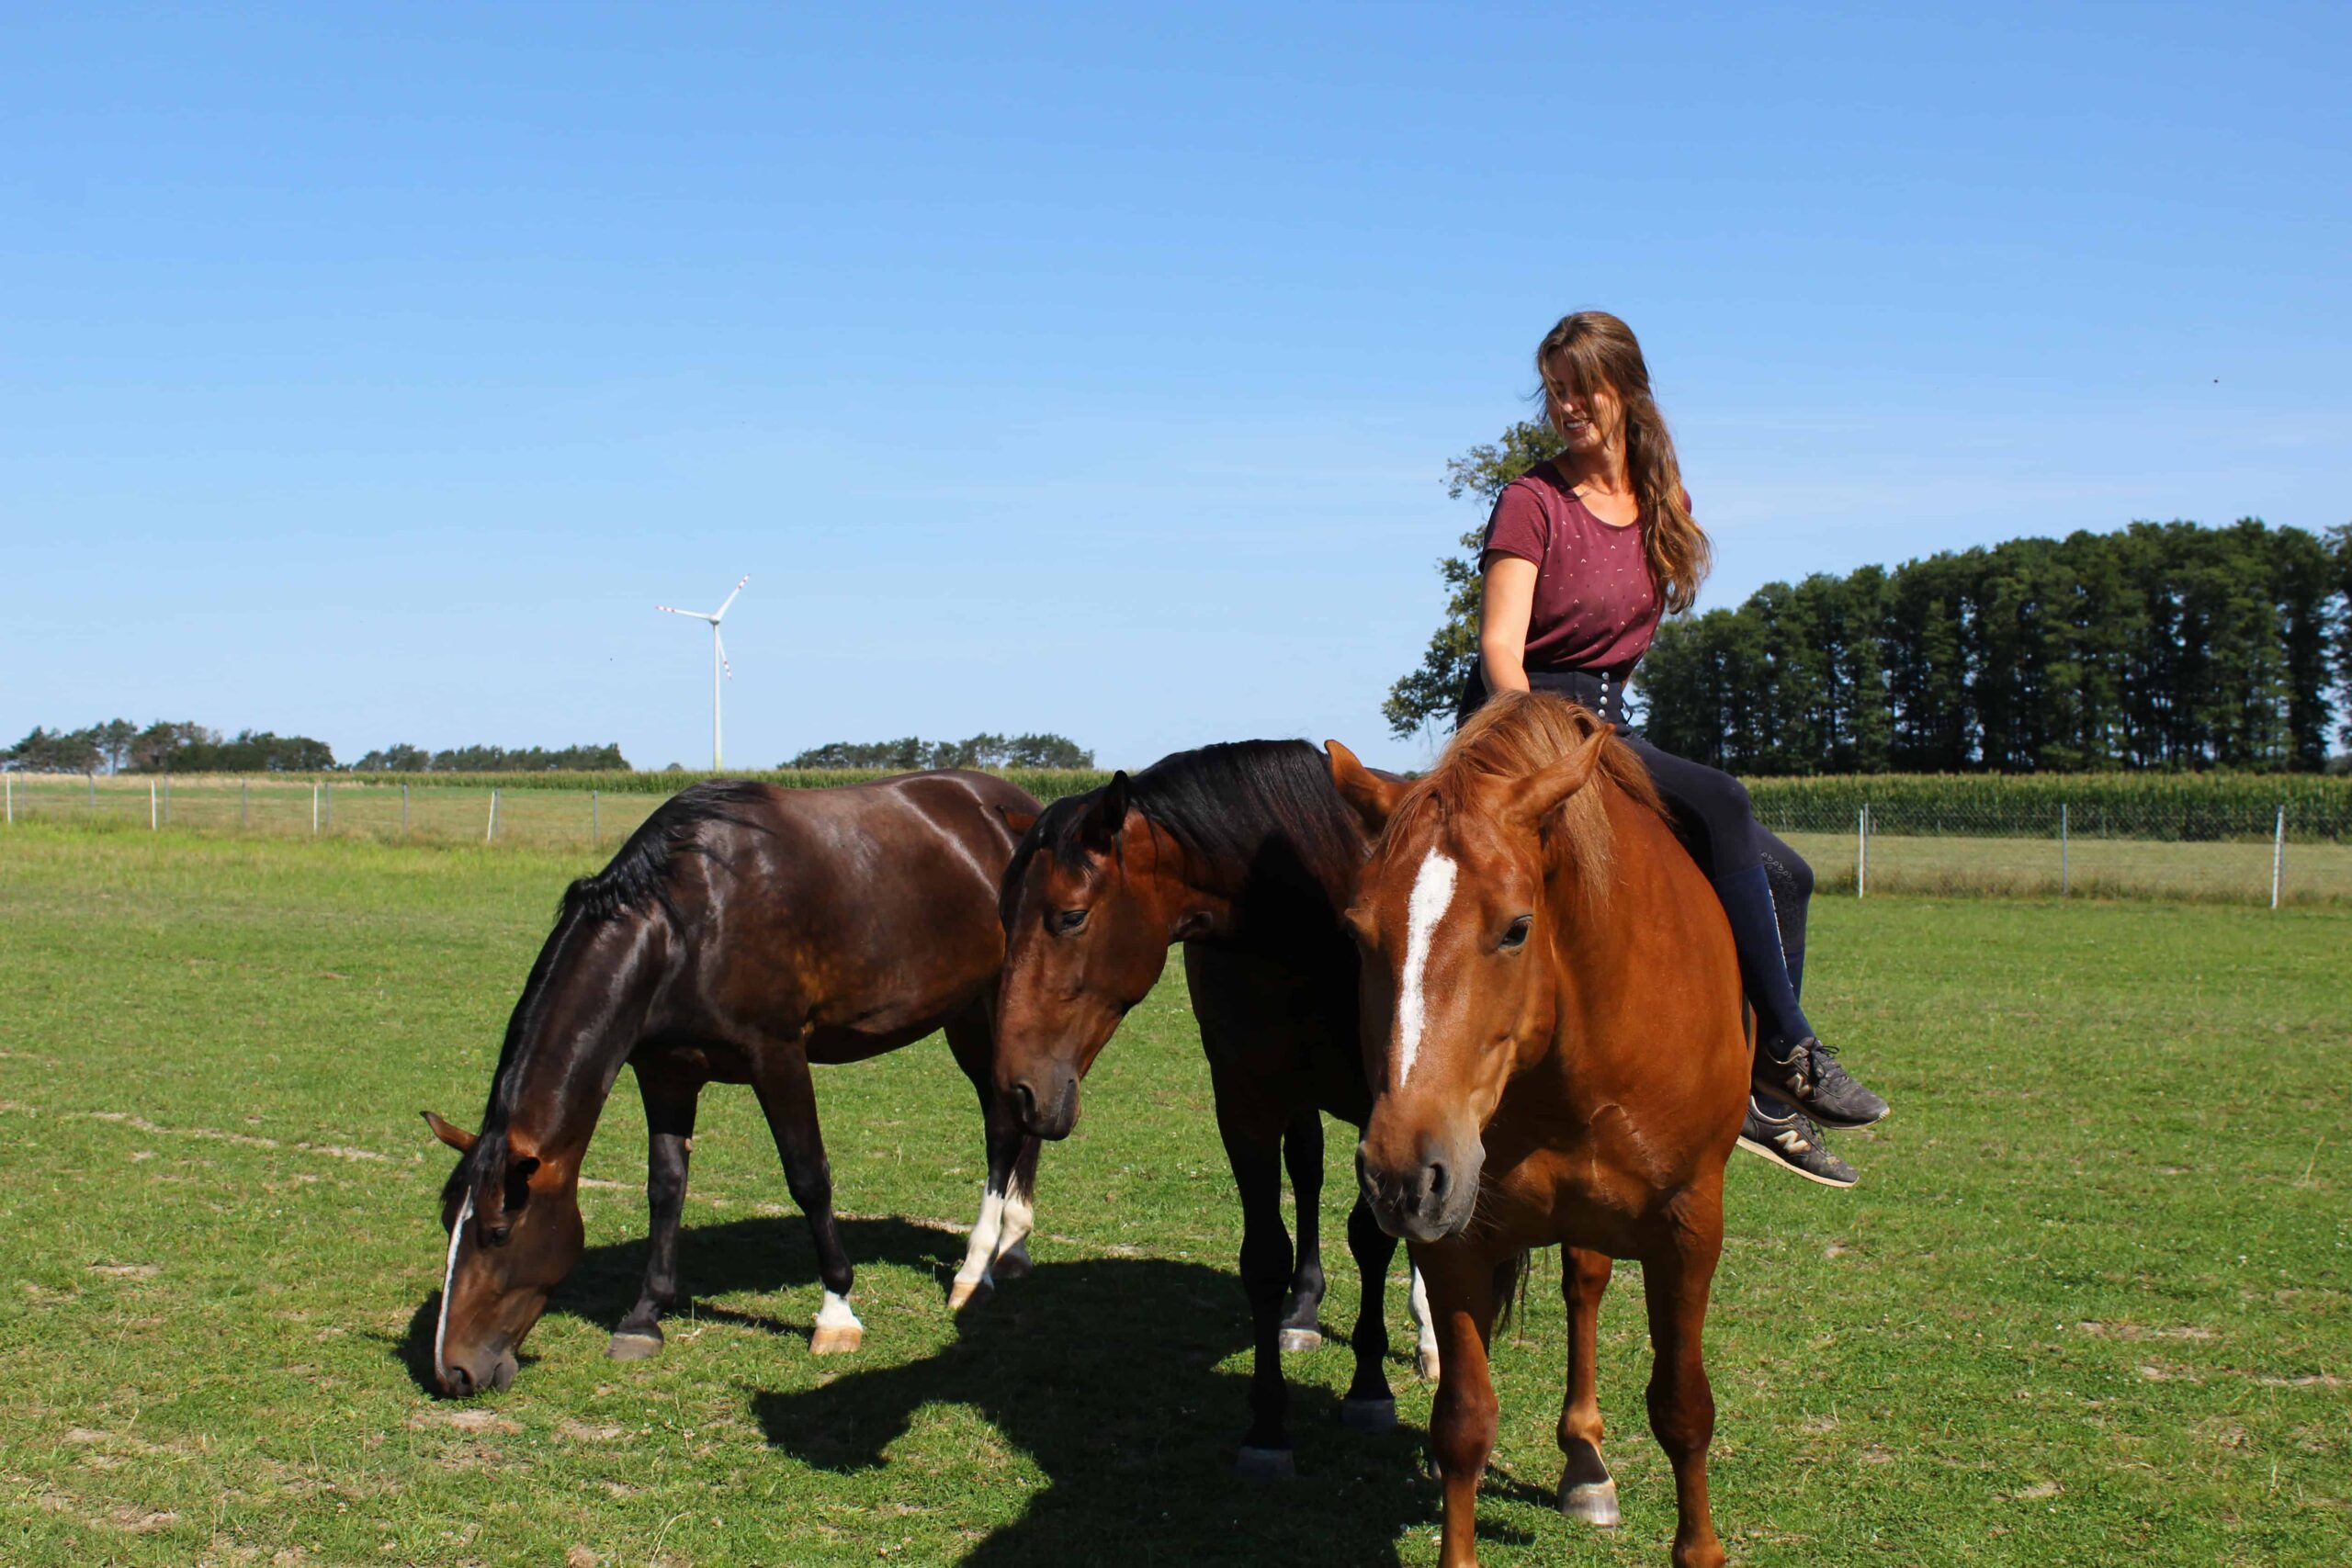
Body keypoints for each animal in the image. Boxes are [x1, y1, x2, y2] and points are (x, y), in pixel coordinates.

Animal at [423, 773, 1042, 1398]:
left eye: (499, 1232)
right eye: (449, 1222)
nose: (453, 1372)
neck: (684, 924)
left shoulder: (776, 1055)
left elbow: (808, 1178)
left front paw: (836, 1312)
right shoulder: (665, 1072)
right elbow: (666, 1186)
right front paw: (645, 1316)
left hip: (991, 1008)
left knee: (1003, 1130)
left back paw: (974, 1271)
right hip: (966, 1014)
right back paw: (1012, 1248)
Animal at [991, 740, 1442, 1477]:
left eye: (1071, 916)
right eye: (1003, 917)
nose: (1015, 1091)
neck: (1313, 924)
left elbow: (1372, 1237)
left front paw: (1370, 1388)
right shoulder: (1245, 1101)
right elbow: (1264, 1256)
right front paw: (1268, 1426)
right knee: (1307, 1172)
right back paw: (1304, 1312)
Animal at [1328, 691, 1749, 1568]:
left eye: (1517, 926)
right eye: (1356, 932)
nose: (1401, 1172)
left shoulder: (1691, 1225)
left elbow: (1683, 1405)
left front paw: (1698, 1546)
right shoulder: (1455, 1237)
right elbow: (1464, 1420)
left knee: (1585, 1291)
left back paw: (1586, 1464)